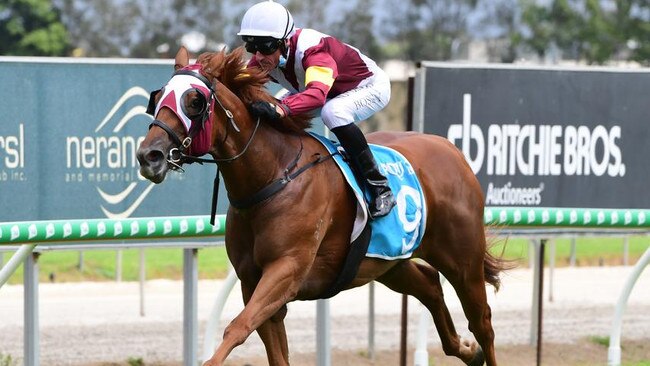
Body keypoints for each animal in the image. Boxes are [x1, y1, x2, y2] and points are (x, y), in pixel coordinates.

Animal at [137, 46, 506, 366]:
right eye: (158, 97)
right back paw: (467, 351)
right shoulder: (252, 281)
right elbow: (273, 350)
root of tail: (451, 149)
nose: (148, 155)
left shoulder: (286, 270)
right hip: (387, 263)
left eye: (194, 101)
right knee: (430, 286)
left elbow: (238, 327)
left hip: (462, 259)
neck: (273, 175)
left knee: (483, 321)